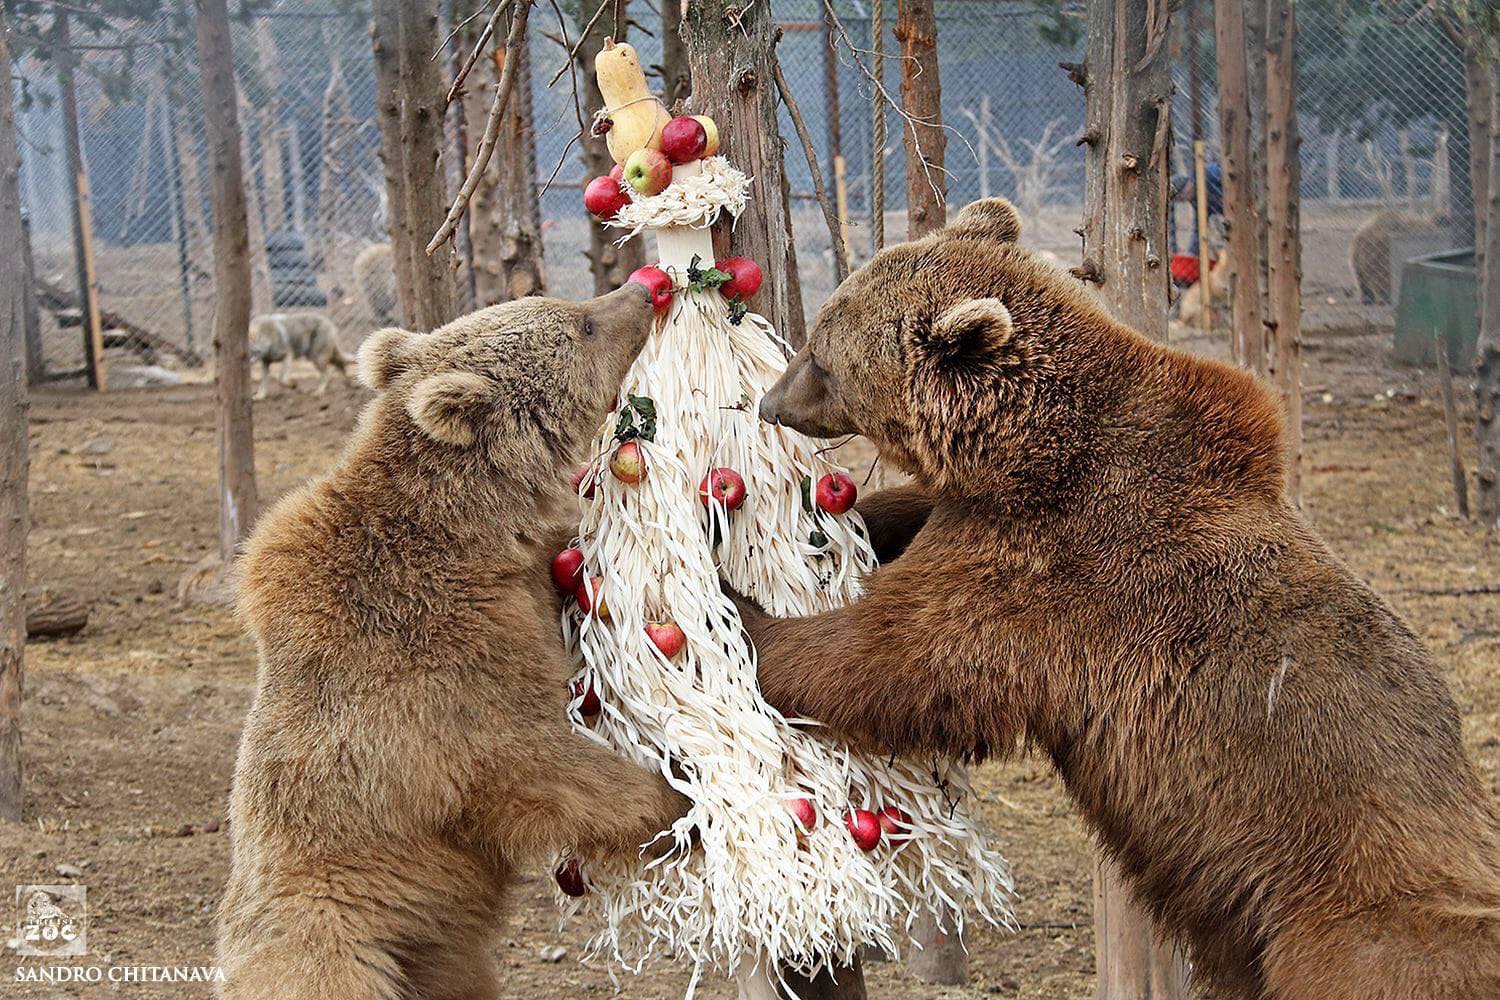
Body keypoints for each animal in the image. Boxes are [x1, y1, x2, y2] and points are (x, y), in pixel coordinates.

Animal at [217, 283, 687, 1000]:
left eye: (567, 304)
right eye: (581, 324)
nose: (645, 286)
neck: (472, 534)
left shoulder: (522, 586)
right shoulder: (438, 668)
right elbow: (536, 757)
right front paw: (673, 795)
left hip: (440, 951)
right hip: (335, 942)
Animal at [747, 197, 1500, 1000]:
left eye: (824, 353)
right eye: (822, 330)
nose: (769, 402)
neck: (1025, 456)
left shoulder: (1055, 573)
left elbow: (897, 655)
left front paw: (742, 614)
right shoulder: (989, 521)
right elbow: (911, 526)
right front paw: (855, 515)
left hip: (1345, 915)